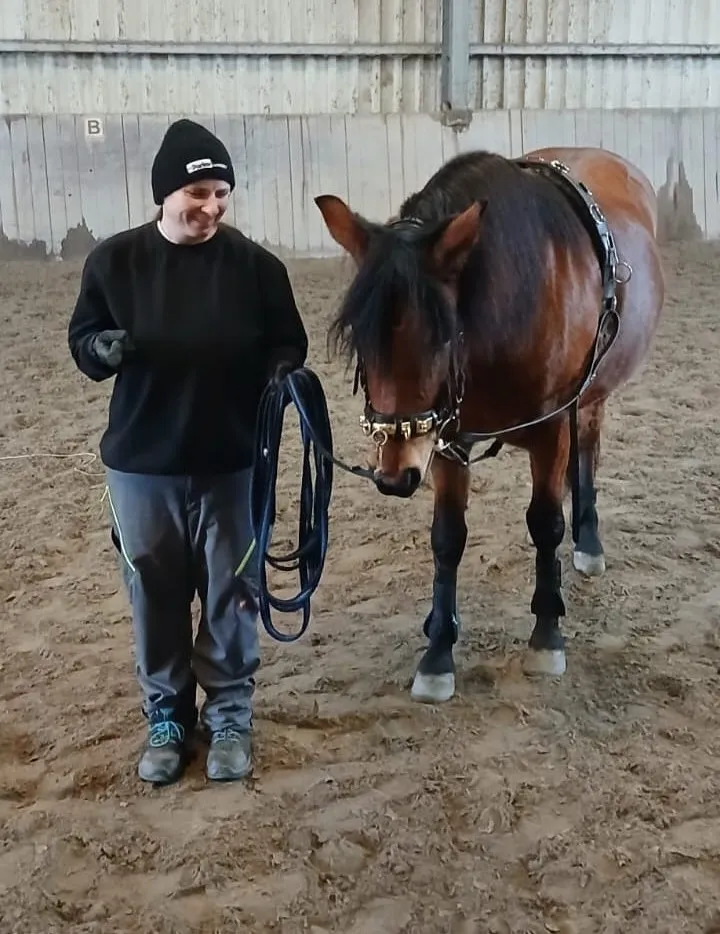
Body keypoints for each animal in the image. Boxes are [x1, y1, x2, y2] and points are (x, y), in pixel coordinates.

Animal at [313, 145, 665, 703]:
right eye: (361, 343)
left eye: (440, 338)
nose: (393, 476)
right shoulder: (445, 437)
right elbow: (447, 537)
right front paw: (438, 651)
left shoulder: (550, 428)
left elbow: (545, 523)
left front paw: (547, 635)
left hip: (589, 398)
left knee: (587, 450)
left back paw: (587, 542)